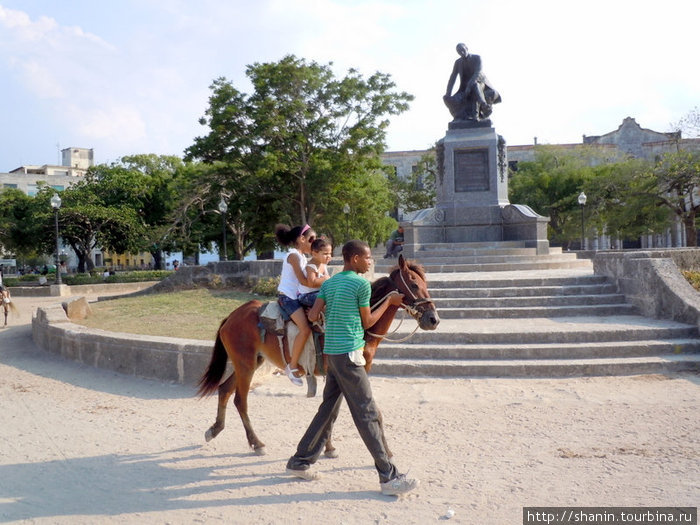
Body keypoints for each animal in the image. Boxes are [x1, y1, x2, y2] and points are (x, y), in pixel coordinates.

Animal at [197, 254, 438, 454]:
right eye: (414, 284)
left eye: (426, 284)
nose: (433, 319)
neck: (362, 321)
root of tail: (231, 317)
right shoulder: (346, 371)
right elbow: (345, 410)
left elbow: (337, 409)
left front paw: (329, 446)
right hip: (245, 365)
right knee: (240, 400)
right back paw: (256, 443)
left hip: (250, 362)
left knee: (224, 390)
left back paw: (215, 429)